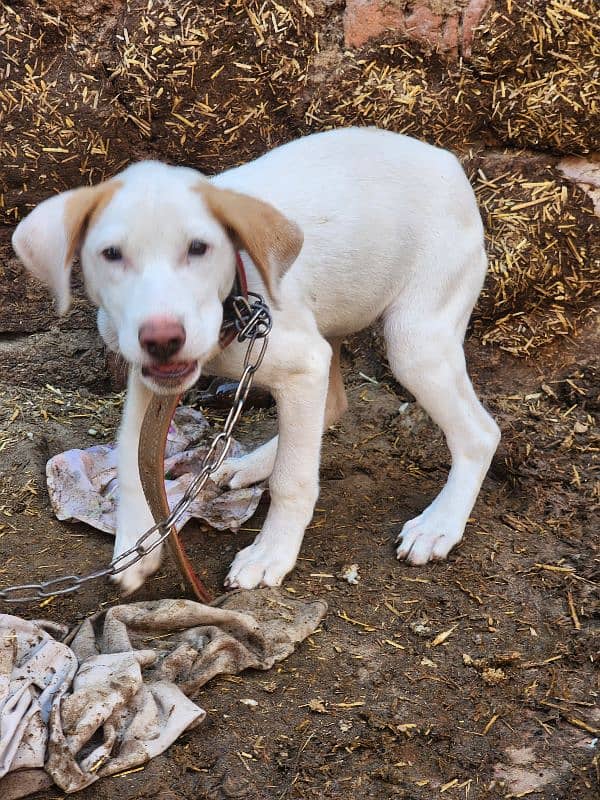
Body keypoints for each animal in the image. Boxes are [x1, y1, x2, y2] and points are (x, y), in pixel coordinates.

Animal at [11, 128, 500, 592]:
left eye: (199, 248)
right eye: (111, 254)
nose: (163, 338)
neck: (233, 303)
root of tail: (444, 159)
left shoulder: (302, 364)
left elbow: (293, 479)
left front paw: (270, 555)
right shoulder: (149, 380)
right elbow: (135, 463)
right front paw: (136, 547)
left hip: (414, 339)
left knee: (479, 434)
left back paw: (439, 525)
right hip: (332, 326)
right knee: (330, 405)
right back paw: (247, 465)